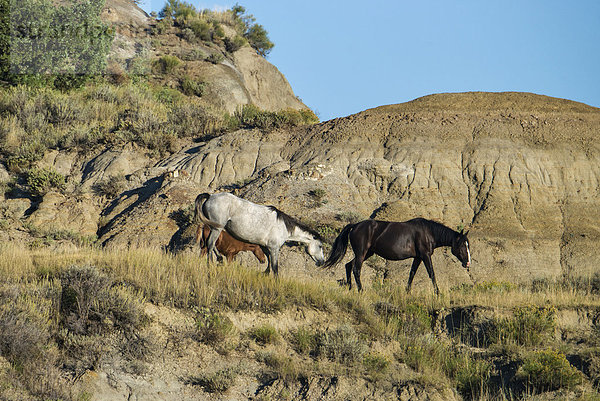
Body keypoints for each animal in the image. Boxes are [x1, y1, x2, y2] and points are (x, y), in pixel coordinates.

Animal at [193, 191, 326, 274]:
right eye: (320, 246)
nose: (322, 262)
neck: (283, 227)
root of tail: (210, 196)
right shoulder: (274, 248)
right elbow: (275, 267)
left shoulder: (265, 246)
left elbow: (268, 262)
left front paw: (265, 273)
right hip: (217, 228)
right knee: (210, 244)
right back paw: (210, 264)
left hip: (213, 228)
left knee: (210, 245)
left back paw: (219, 259)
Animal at [322, 217, 472, 292]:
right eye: (462, 246)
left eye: (468, 245)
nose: (467, 263)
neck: (428, 232)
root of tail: (355, 225)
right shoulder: (425, 256)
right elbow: (432, 274)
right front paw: (438, 293)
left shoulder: (418, 257)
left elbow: (412, 274)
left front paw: (407, 291)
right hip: (361, 253)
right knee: (356, 269)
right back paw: (360, 290)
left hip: (367, 253)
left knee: (348, 265)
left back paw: (350, 288)